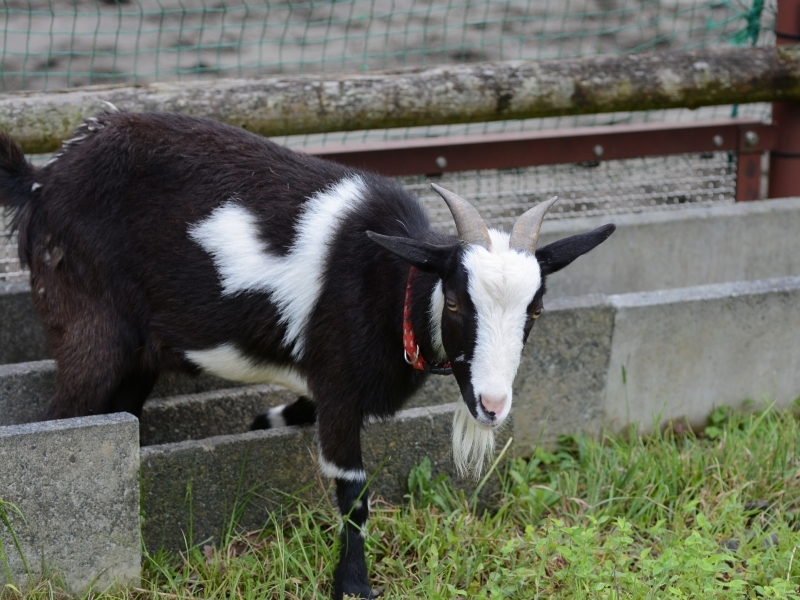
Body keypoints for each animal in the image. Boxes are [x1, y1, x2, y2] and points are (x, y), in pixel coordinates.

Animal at [0, 110, 616, 596]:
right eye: (459, 302)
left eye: (536, 310)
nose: (491, 405)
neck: (391, 287)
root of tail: (40, 181)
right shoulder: (340, 387)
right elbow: (353, 493)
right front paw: (353, 587)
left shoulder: (320, 384)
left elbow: (287, 415)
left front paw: (260, 424)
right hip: (87, 323)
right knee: (68, 415)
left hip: (137, 353)